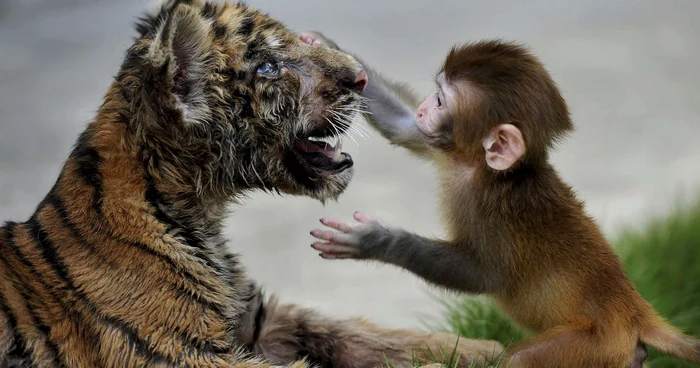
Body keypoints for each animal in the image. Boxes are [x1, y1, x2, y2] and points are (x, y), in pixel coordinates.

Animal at [304, 32, 700, 368]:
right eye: (433, 95)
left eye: (441, 101)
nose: (424, 109)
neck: (488, 172)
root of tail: (632, 309)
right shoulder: (448, 152)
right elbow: (402, 128)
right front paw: (325, 45)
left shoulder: (489, 208)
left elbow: (482, 275)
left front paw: (374, 240)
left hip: (596, 342)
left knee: (520, 361)